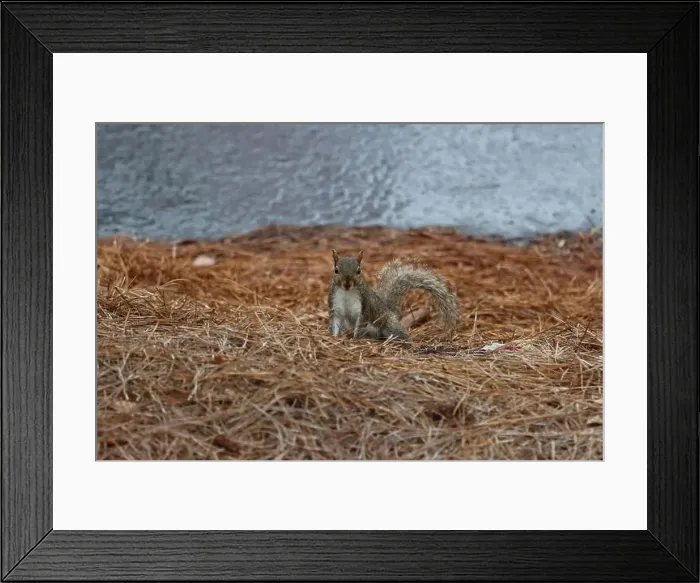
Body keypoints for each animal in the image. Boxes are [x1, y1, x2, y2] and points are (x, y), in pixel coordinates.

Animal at [327, 249, 459, 342]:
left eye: (359, 271)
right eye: (336, 270)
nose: (347, 283)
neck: (347, 292)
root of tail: (391, 312)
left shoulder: (364, 307)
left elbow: (360, 324)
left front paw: (355, 339)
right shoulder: (335, 307)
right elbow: (335, 323)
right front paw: (334, 338)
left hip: (389, 325)